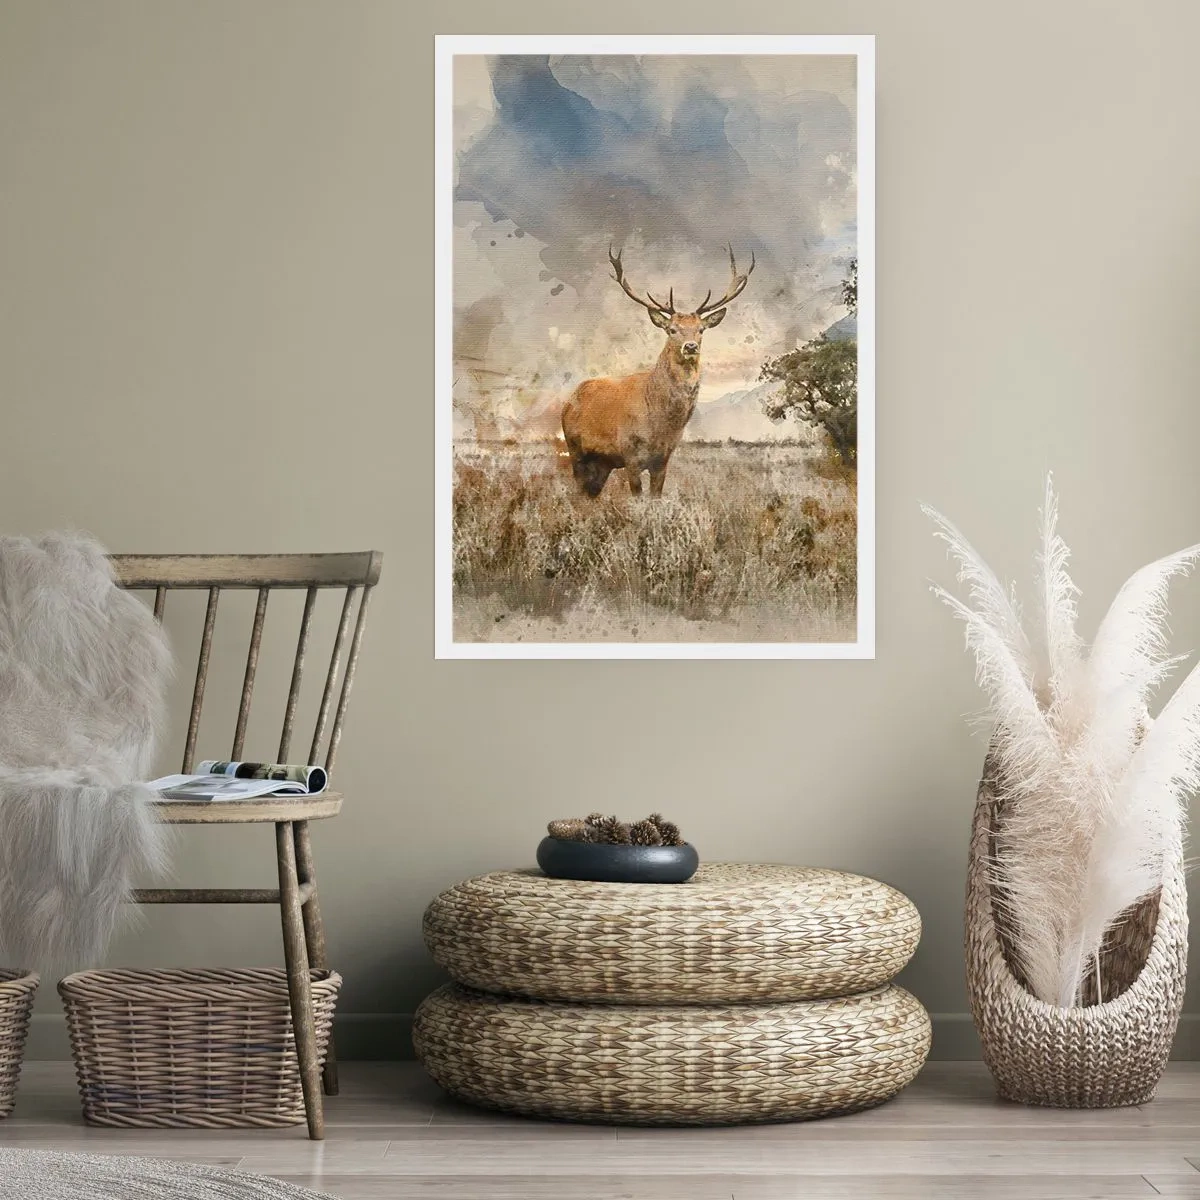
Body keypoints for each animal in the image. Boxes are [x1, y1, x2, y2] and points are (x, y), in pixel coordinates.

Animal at [561, 245, 755, 498]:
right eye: (672, 329)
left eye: (701, 329)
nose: (690, 346)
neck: (661, 425)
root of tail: (568, 401)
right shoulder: (630, 455)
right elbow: (637, 497)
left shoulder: (663, 460)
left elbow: (656, 496)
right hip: (575, 448)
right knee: (579, 490)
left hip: (602, 462)